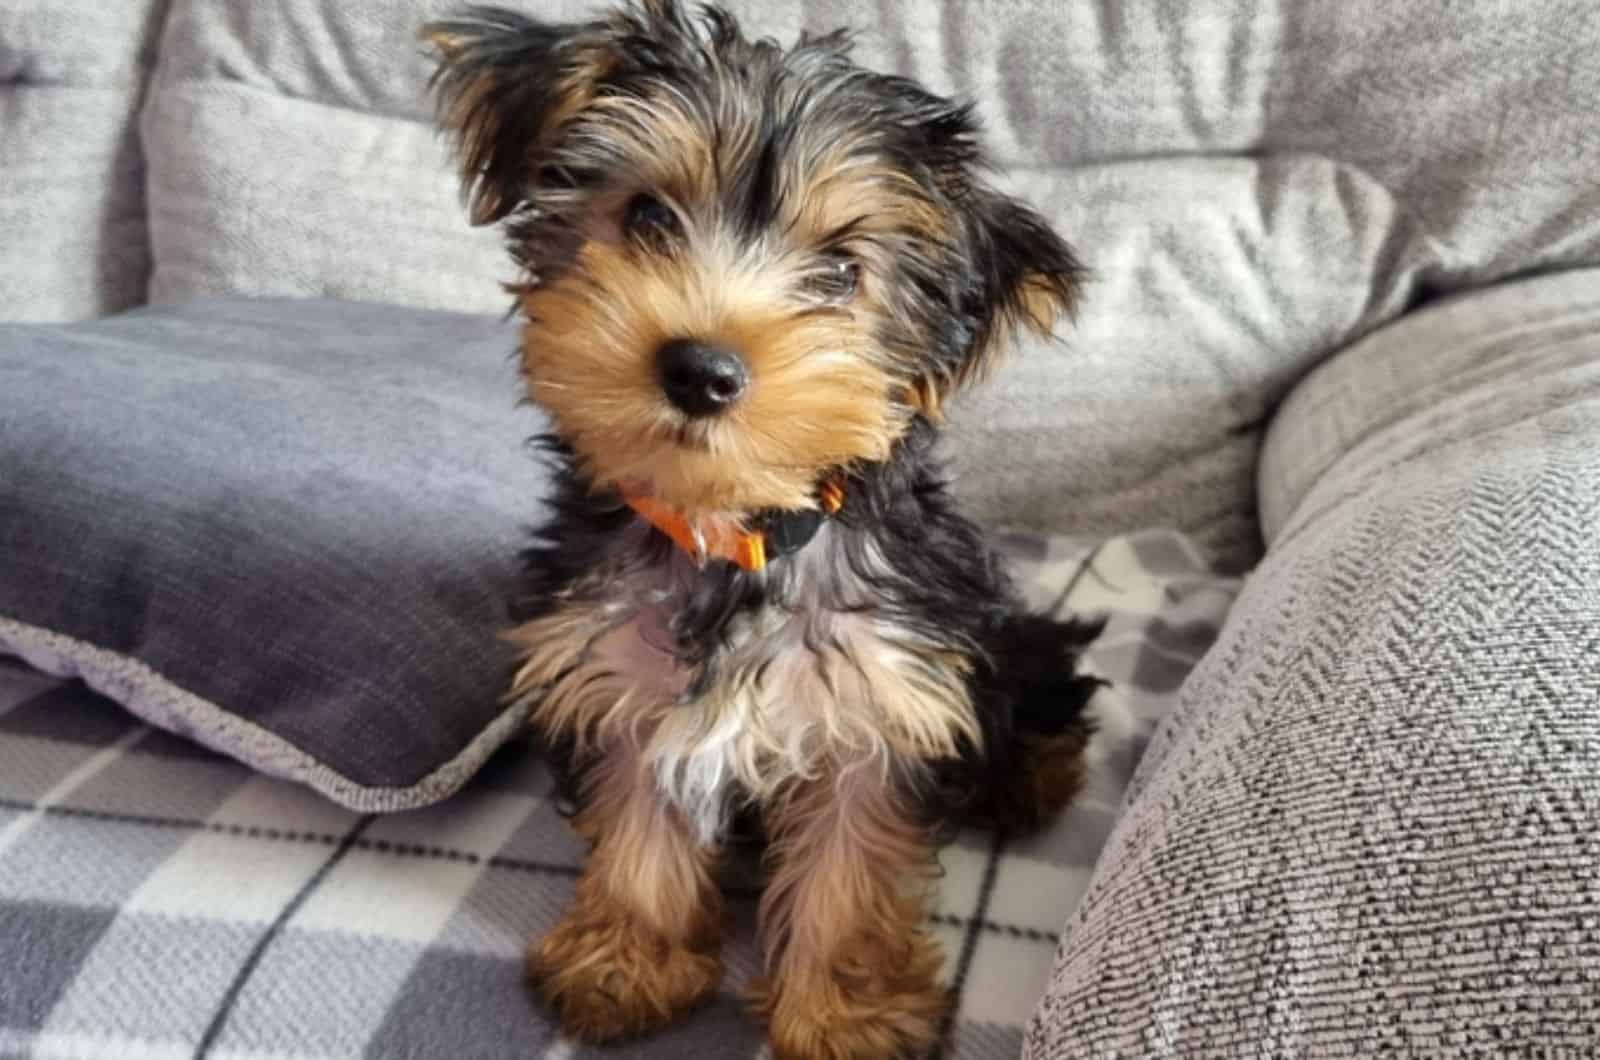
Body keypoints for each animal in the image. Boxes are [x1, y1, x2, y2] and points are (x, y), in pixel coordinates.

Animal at [425, 4, 1100, 1056]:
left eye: (839, 274)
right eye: (648, 217)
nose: (702, 368)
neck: (735, 532)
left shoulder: (880, 696)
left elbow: (850, 861)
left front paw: (848, 1011)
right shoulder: (622, 672)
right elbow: (641, 814)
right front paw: (627, 957)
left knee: (1043, 681)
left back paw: (1027, 780)